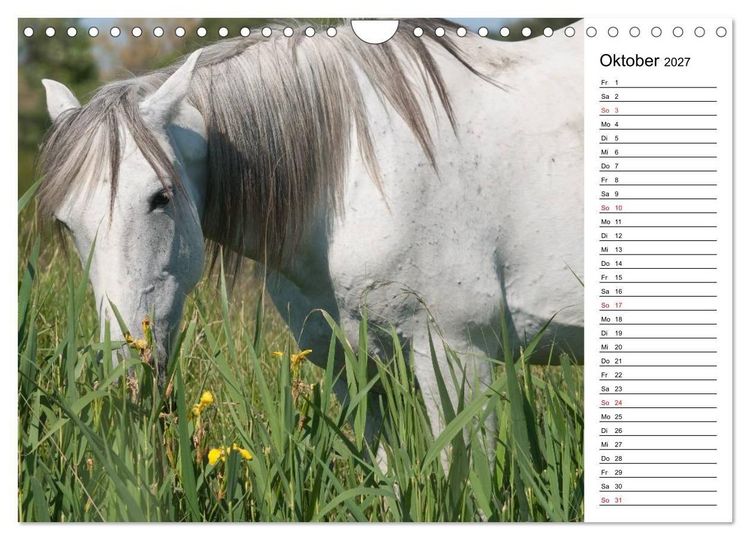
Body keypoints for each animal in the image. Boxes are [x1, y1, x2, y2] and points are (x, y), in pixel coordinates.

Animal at [37, 19, 583, 450]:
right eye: (67, 222)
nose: (125, 370)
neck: (354, 174)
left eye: (160, 197)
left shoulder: (458, 356)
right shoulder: (350, 367)